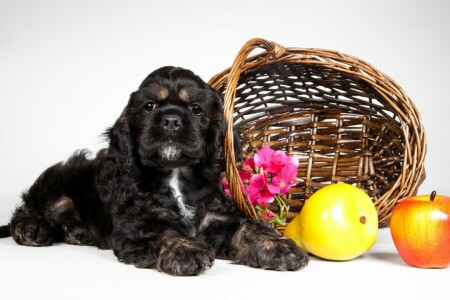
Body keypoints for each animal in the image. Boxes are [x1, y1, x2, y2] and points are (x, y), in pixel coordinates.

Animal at [0, 67, 310, 276]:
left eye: (196, 109)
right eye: (148, 106)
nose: (171, 120)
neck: (175, 175)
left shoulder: (217, 218)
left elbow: (249, 227)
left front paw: (280, 247)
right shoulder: (137, 225)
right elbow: (163, 233)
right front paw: (186, 251)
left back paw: (76, 231)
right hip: (55, 183)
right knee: (28, 209)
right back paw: (33, 228)